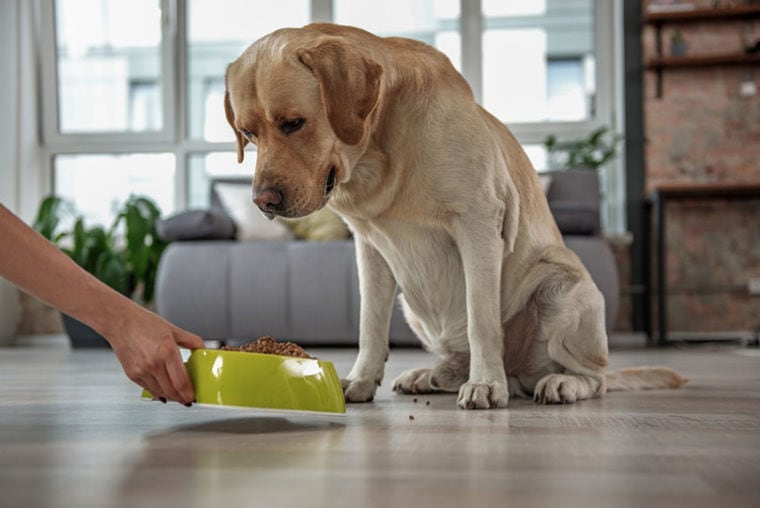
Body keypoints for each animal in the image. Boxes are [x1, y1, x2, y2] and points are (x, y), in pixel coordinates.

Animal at [223, 25, 684, 410]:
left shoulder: (477, 227)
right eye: (247, 133)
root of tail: (521, 372)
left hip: (563, 285)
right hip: (412, 303)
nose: (262, 201)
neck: (380, 154)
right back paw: (433, 375)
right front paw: (360, 380)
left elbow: (483, 320)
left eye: (293, 123)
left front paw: (486, 385)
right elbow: (369, 325)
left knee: (595, 377)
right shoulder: (370, 248)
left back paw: (556, 383)